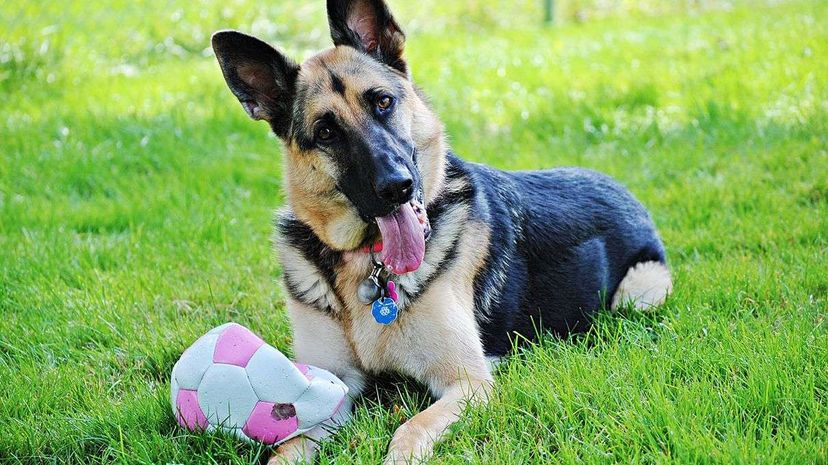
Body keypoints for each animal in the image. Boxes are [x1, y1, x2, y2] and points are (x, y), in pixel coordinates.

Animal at [212, 1, 672, 462]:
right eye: (326, 132)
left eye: (383, 102)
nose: (396, 187)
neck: (368, 267)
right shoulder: (326, 388)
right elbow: (288, 446)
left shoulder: (468, 383)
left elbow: (409, 430)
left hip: (639, 294)